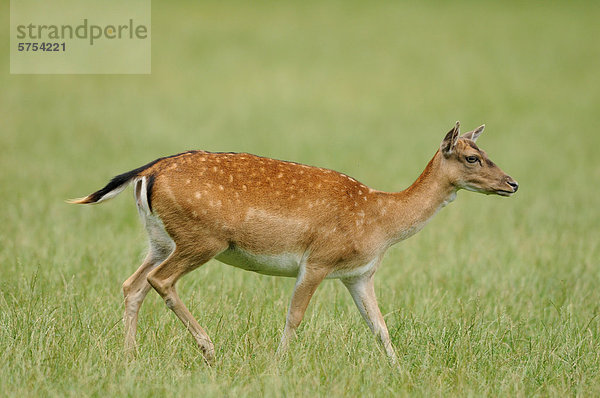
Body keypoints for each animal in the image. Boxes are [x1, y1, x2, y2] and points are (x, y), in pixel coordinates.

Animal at [69, 122, 516, 364]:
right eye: (472, 158)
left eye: (485, 150)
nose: (512, 183)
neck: (381, 221)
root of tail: (148, 172)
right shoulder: (317, 260)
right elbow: (295, 317)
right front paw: (276, 366)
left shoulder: (358, 274)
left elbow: (380, 326)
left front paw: (400, 372)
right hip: (202, 238)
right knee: (160, 281)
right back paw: (209, 349)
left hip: (160, 239)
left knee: (132, 283)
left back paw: (130, 357)